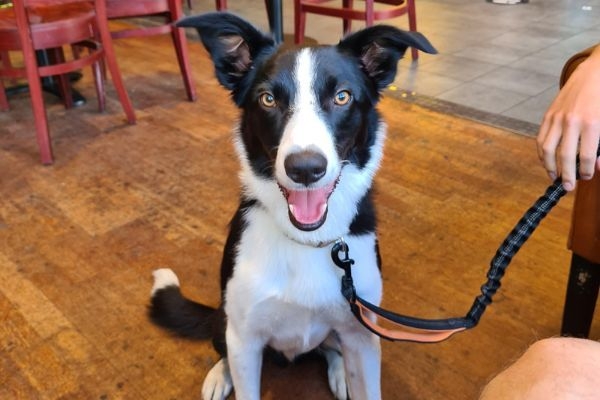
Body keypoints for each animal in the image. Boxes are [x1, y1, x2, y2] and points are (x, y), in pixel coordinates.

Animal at [150, 12, 436, 400]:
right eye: (268, 99)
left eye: (342, 96)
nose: (305, 169)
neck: (308, 241)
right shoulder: (245, 339)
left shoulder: (362, 337)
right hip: (226, 320)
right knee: (222, 346)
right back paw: (219, 375)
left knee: (330, 348)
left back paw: (339, 373)